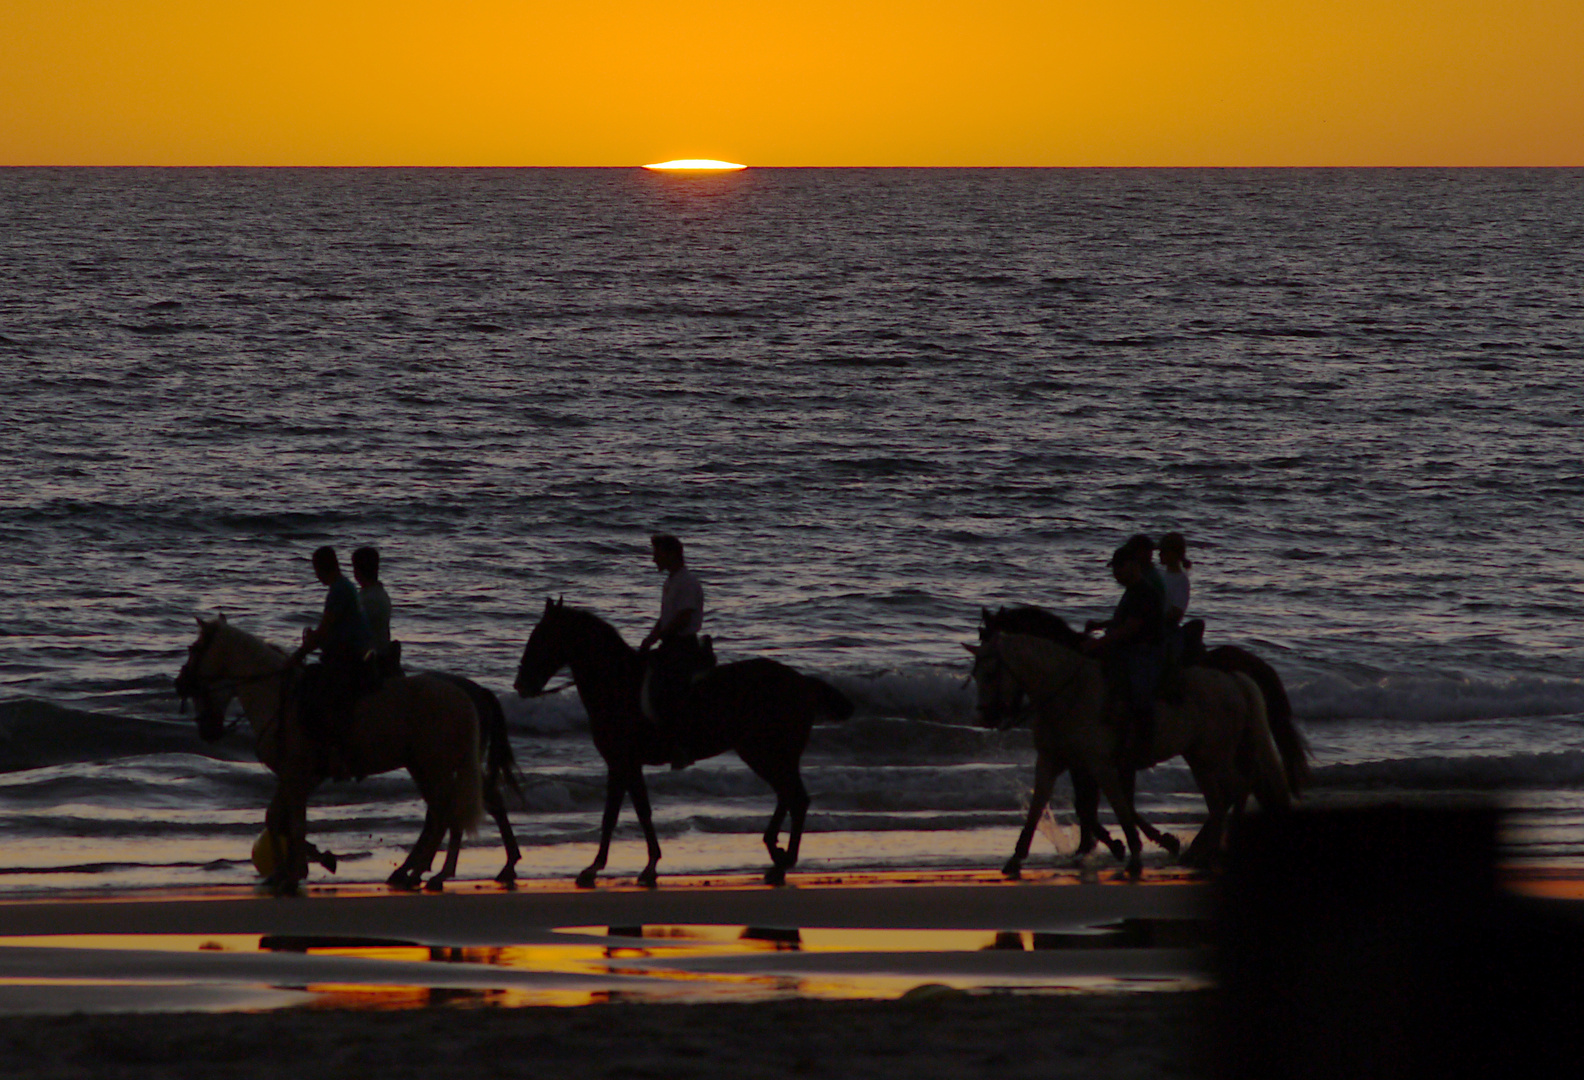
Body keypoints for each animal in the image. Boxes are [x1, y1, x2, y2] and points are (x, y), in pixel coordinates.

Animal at [516, 598, 855, 880]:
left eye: (541, 637)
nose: (521, 684)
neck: (618, 684)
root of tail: (803, 682)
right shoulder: (624, 765)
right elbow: (627, 813)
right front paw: (629, 864)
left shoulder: (623, 762)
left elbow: (623, 813)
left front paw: (611, 866)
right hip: (768, 754)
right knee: (789, 796)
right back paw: (777, 851)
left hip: (766, 753)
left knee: (795, 798)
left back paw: (783, 857)